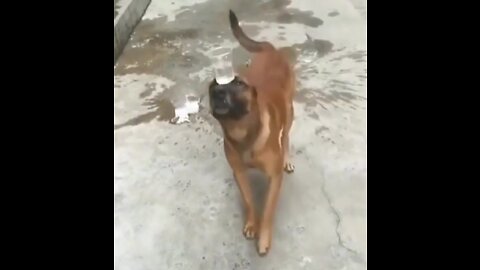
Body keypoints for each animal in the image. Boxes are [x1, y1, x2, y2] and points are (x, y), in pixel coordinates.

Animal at [208, 10, 294, 255]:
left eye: (238, 84)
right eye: (211, 86)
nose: (218, 92)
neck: (242, 133)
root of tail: (269, 49)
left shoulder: (275, 177)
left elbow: (268, 210)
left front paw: (263, 238)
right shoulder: (239, 173)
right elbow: (249, 202)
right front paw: (251, 224)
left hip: (290, 112)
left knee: (286, 136)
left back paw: (288, 157)